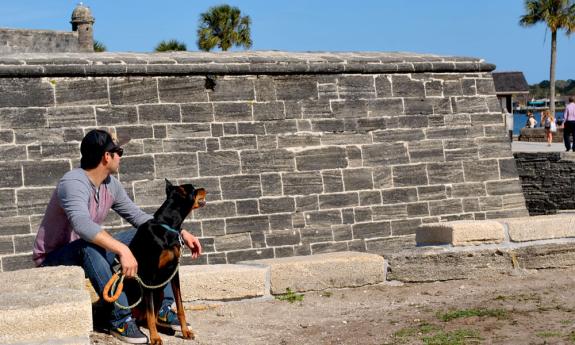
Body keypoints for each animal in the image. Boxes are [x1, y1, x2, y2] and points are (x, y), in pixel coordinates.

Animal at [109, 179, 206, 342]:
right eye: (193, 189)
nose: (204, 188)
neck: (168, 226)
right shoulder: (148, 276)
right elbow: (149, 312)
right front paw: (155, 338)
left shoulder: (174, 271)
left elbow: (180, 305)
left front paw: (185, 332)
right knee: (143, 317)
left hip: (158, 291)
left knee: (150, 317)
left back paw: (166, 329)